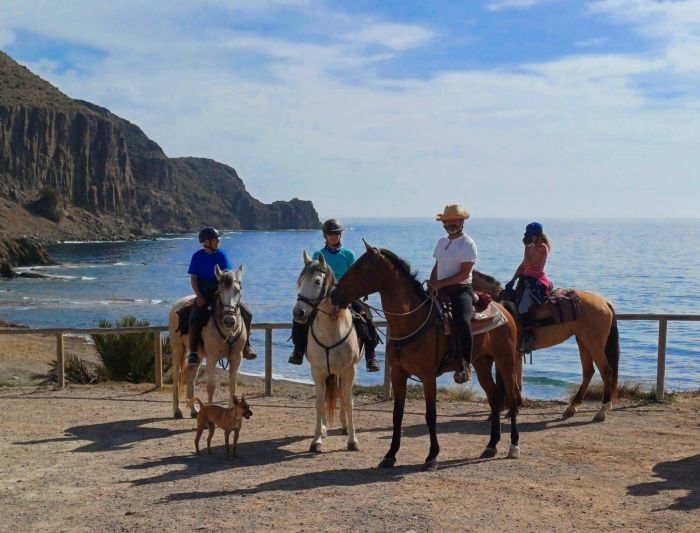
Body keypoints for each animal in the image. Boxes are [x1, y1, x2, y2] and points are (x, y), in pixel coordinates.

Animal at [168, 264, 247, 418]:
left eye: (238, 290)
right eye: (219, 291)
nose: (229, 320)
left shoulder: (236, 357)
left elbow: (232, 386)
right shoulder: (212, 357)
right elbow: (211, 386)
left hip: (197, 355)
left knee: (191, 377)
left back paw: (193, 410)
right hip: (178, 348)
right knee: (177, 375)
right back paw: (176, 410)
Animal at [294, 251, 364, 450]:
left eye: (317, 281)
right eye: (300, 281)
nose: (298, 313)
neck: (332, 326)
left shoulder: (349, 370)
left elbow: (348, 402)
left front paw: (353, 440)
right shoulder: (318, 371)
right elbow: (319, 403)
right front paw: (316, 439)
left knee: (342, 394)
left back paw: (344, 426)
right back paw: (325, 428)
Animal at [330, 242, 524, 470]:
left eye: (359, 267)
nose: (333, 294)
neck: (412, 320)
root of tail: (503, 309)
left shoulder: (428, 376)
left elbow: (430, 415)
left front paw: (432, 456)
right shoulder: (398, 374)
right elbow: (397, 415)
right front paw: (390, 455)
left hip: (506, 361)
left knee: (512, 399)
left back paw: (513, 446)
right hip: (482, 363)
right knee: (494, 399)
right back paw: (491, 445)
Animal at [474, 272, 620, 422]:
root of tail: (605, 302)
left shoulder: (504, 354)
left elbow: (505, 381)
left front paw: (504, 410)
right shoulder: (512, 354)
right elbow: (513, 379)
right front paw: (513, 408)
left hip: (594, 344)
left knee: (606, 371)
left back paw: (602, 410)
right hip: (583, 342)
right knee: (588, 372)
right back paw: (572, 407)